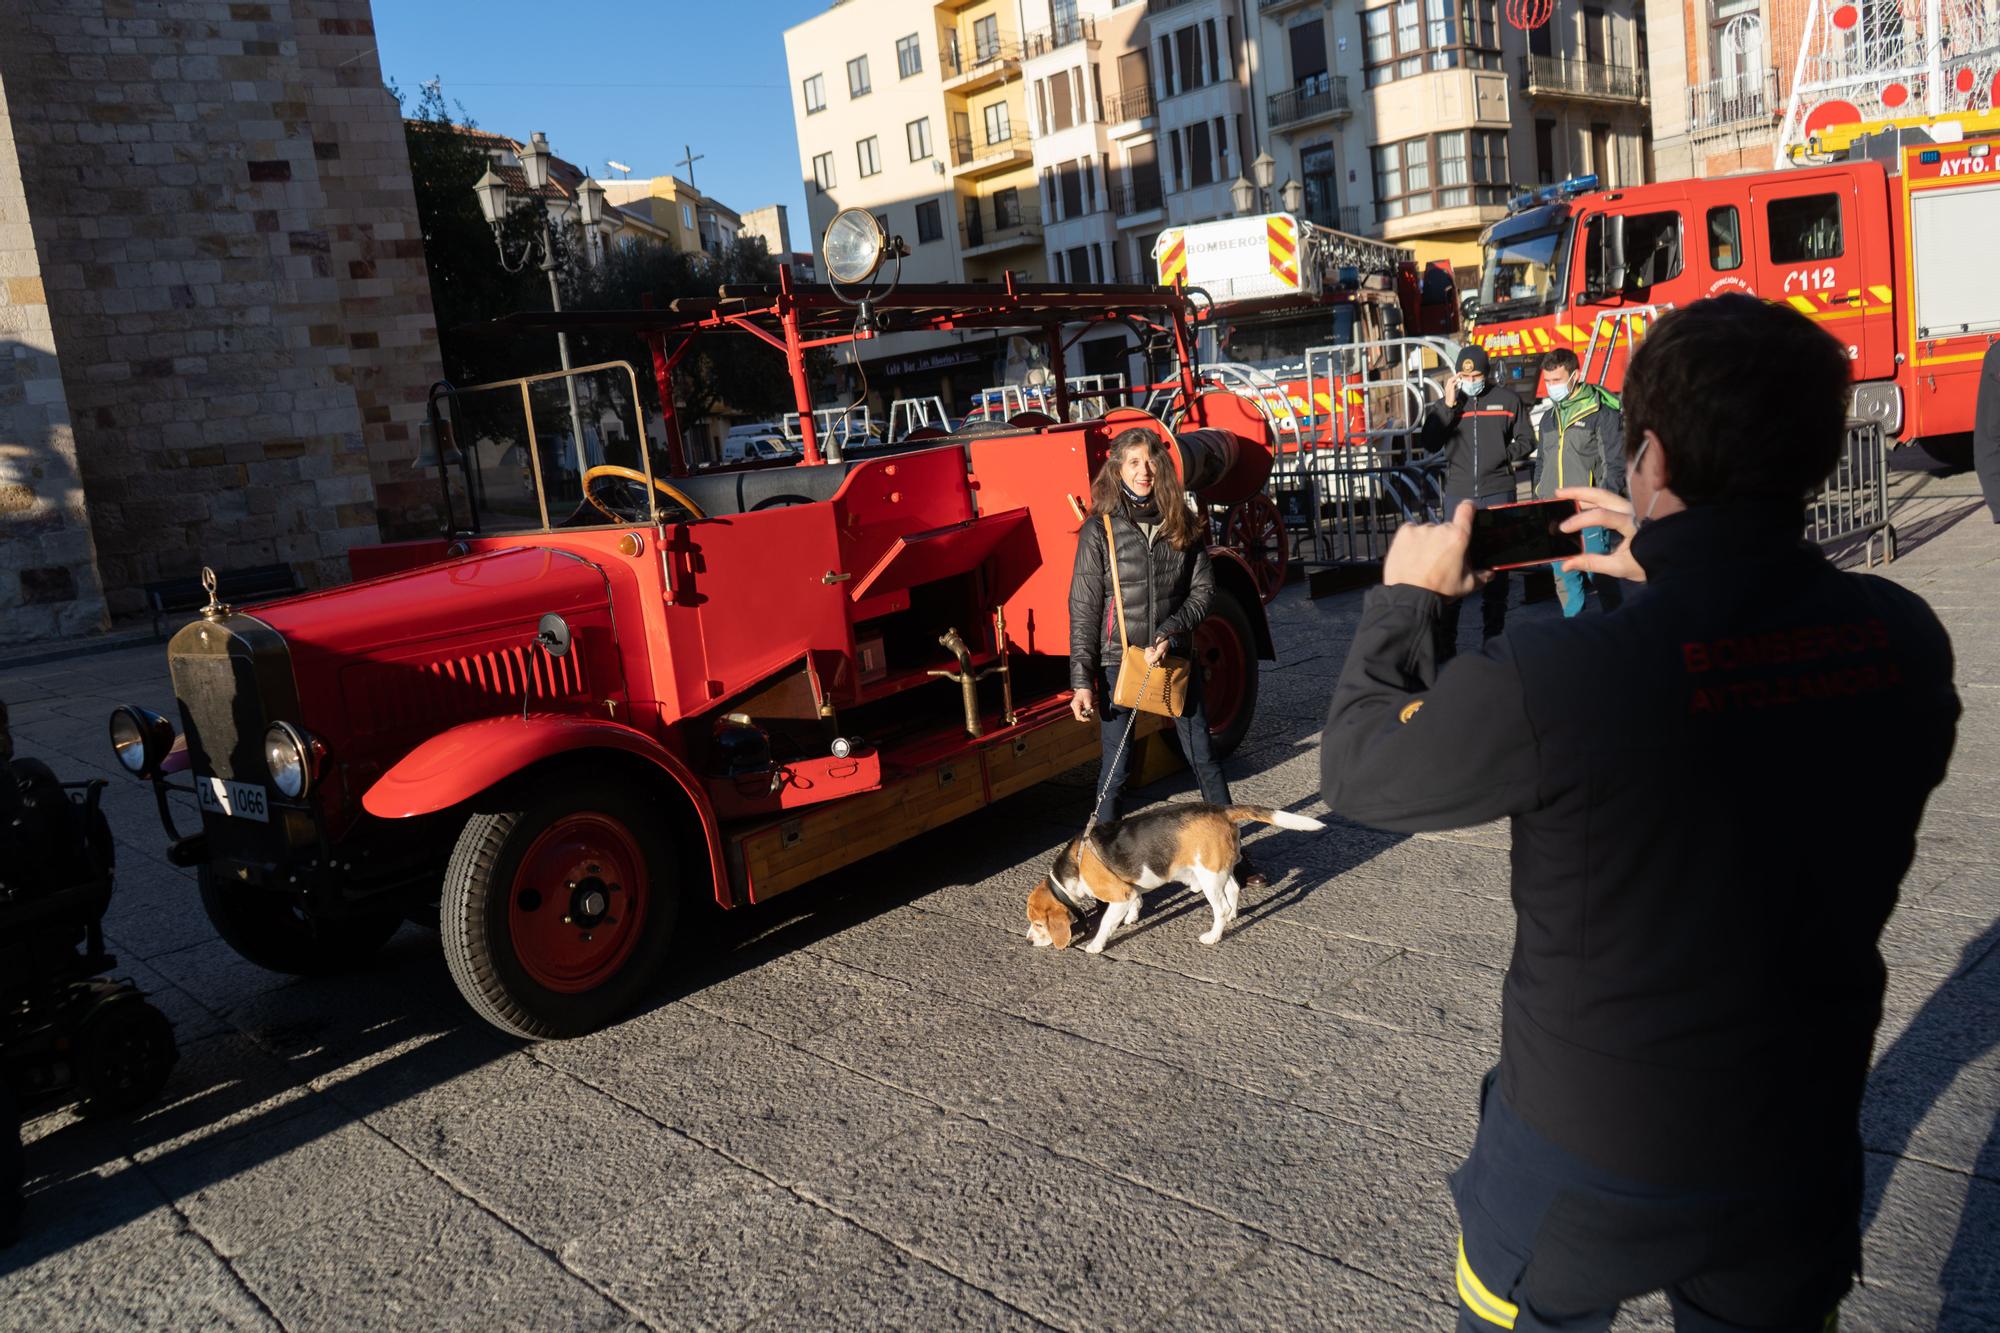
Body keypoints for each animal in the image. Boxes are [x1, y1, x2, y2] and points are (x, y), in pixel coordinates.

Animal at [1032, 804, 1328, 948]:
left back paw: (1213, 936)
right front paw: (1132, 917)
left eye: (1037, 924)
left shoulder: (1119, 893)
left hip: (1209, 878)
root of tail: (1222, 809)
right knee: (1233, 890)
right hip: (1217, 869)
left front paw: (1095, 945)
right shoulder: (1130, 889)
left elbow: (1106, 923)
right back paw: (1233, 915)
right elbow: (1136, 901)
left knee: (1220, 908)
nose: (1028, 940)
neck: (1074, 864)